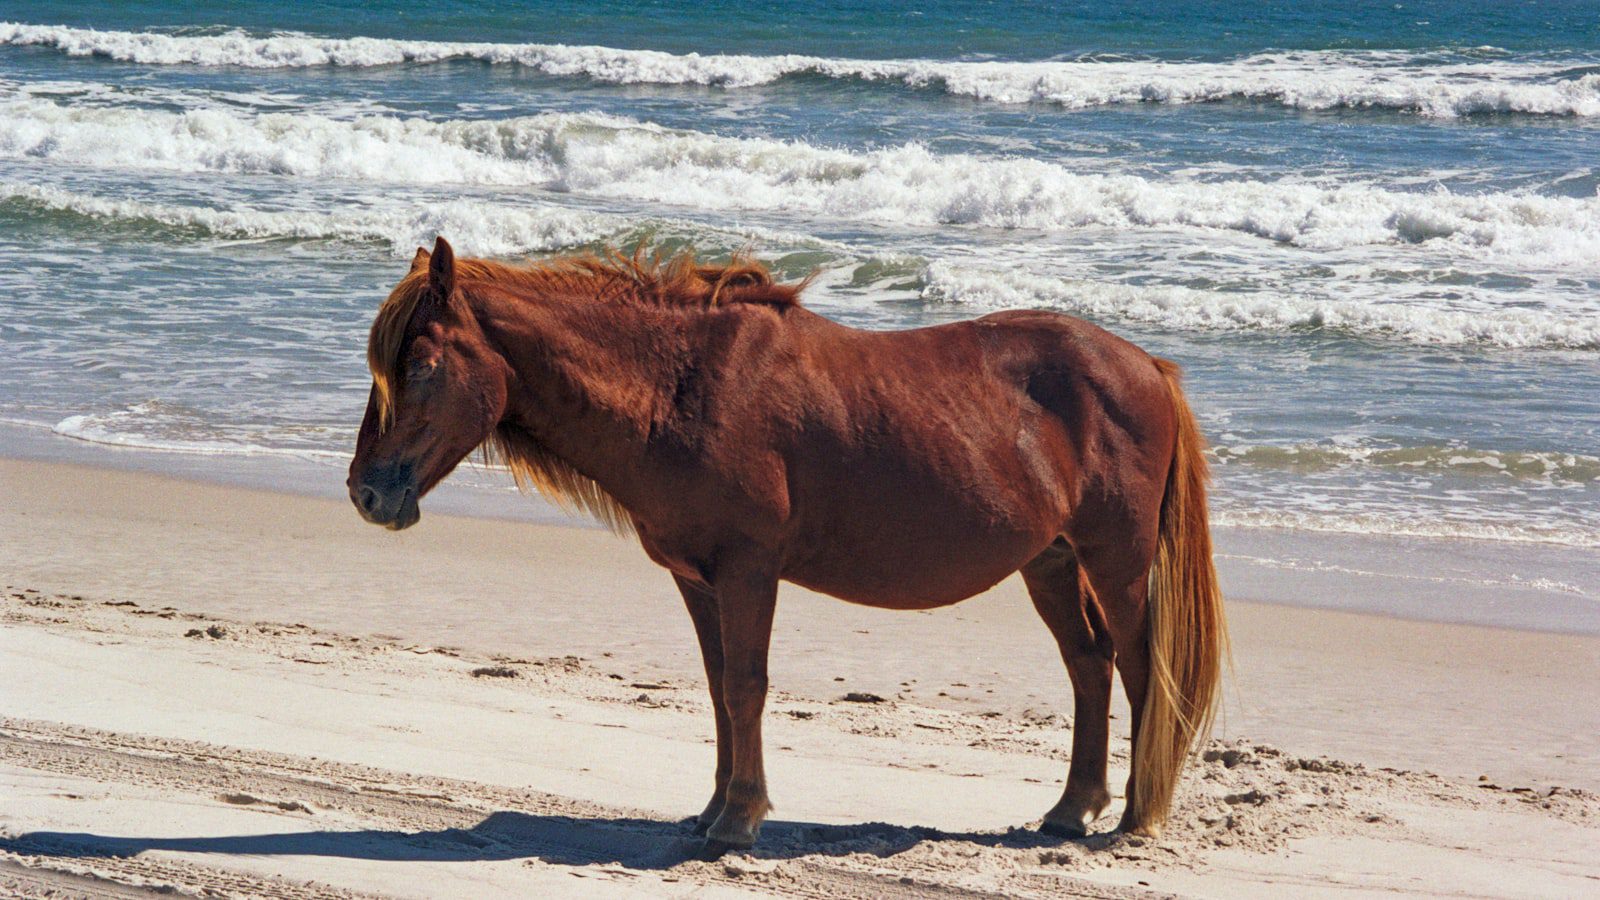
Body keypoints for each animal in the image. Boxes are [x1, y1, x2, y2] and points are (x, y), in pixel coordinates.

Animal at [347, 235, 1222, 851]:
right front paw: (711, 810)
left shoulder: (747, 572)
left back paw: (1135, 817)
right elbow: (717, 689)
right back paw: (1073, 809)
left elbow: (745, 687)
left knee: (1138, 666)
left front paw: (739, 820)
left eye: (422, 365)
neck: (681, 386)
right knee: (1088, 665)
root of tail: (1145, 365)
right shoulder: (697, 578)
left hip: (1114, 561)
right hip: (1050, 562)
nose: (366, 493)